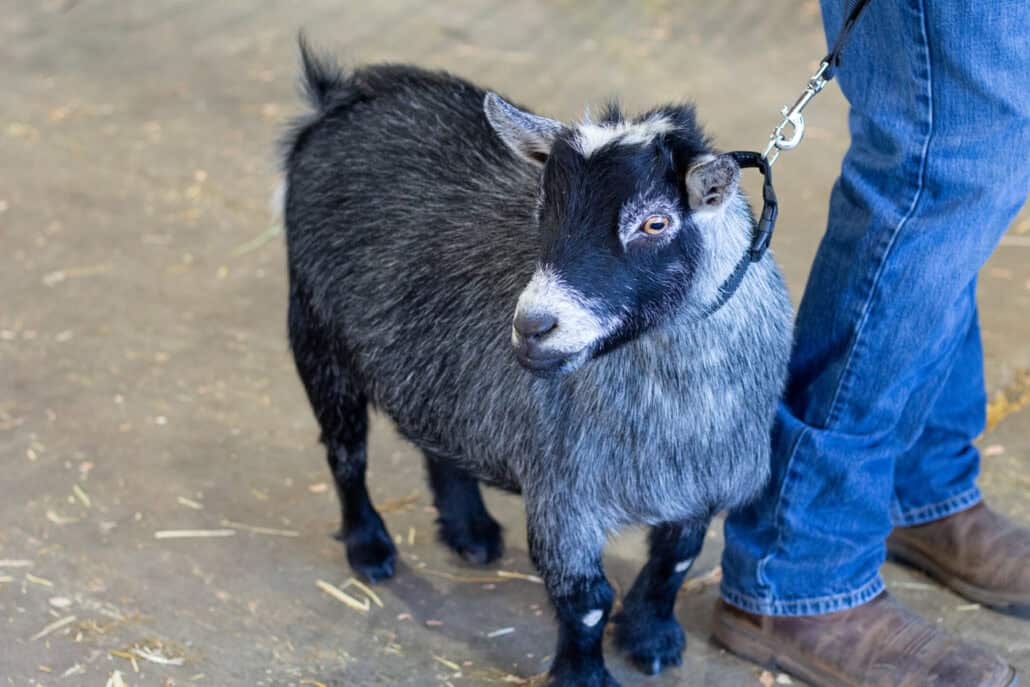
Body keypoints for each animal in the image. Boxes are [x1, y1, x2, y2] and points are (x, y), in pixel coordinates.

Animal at [281, 40, 793, 686]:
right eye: (543, 206)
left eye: (655, 222)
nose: (532, 326)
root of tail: (343, 96)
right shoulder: (564, 493)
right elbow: (586, 598)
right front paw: (584, 676)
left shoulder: (701, 483)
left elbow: (675, 560)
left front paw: (651, 638)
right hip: (314, 326)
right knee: (345, 451)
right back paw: (369, 548)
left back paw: (469, 530)